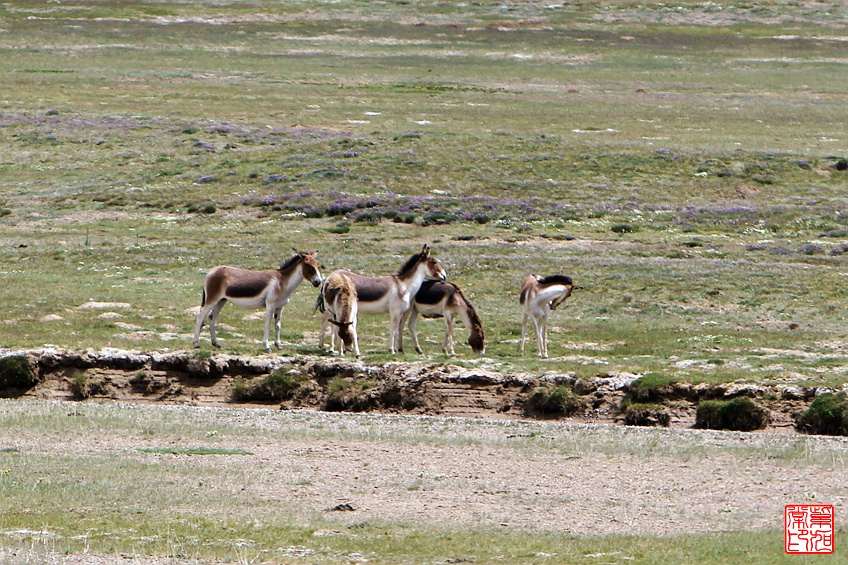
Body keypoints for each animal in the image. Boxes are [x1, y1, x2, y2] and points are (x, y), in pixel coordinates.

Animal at [194, 249, 322, 350]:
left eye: (317, 263)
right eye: (307, 264)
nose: (318, 281)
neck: (281, 281)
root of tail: (212, 271)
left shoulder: (280, 307)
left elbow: (277, 326)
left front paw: (278, 345)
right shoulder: (270, 305)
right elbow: (268, 324)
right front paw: (267, 346)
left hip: (221, 301)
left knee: (212, 318)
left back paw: (215, 343)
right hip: (212, 299)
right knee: (200, 317)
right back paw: (196, 344)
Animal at [318, 245, 448, 354]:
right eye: (434, 261)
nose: (444, 275)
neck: (402, 286)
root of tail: (330, 276)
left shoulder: (399, 313)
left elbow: (397, 330)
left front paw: (395, 349)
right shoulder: (395, 311)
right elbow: (393, 330)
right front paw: (392, 350)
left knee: (327, 322)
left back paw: (325, 347)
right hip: (333, 309)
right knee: (328, 323)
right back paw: (330, 348)